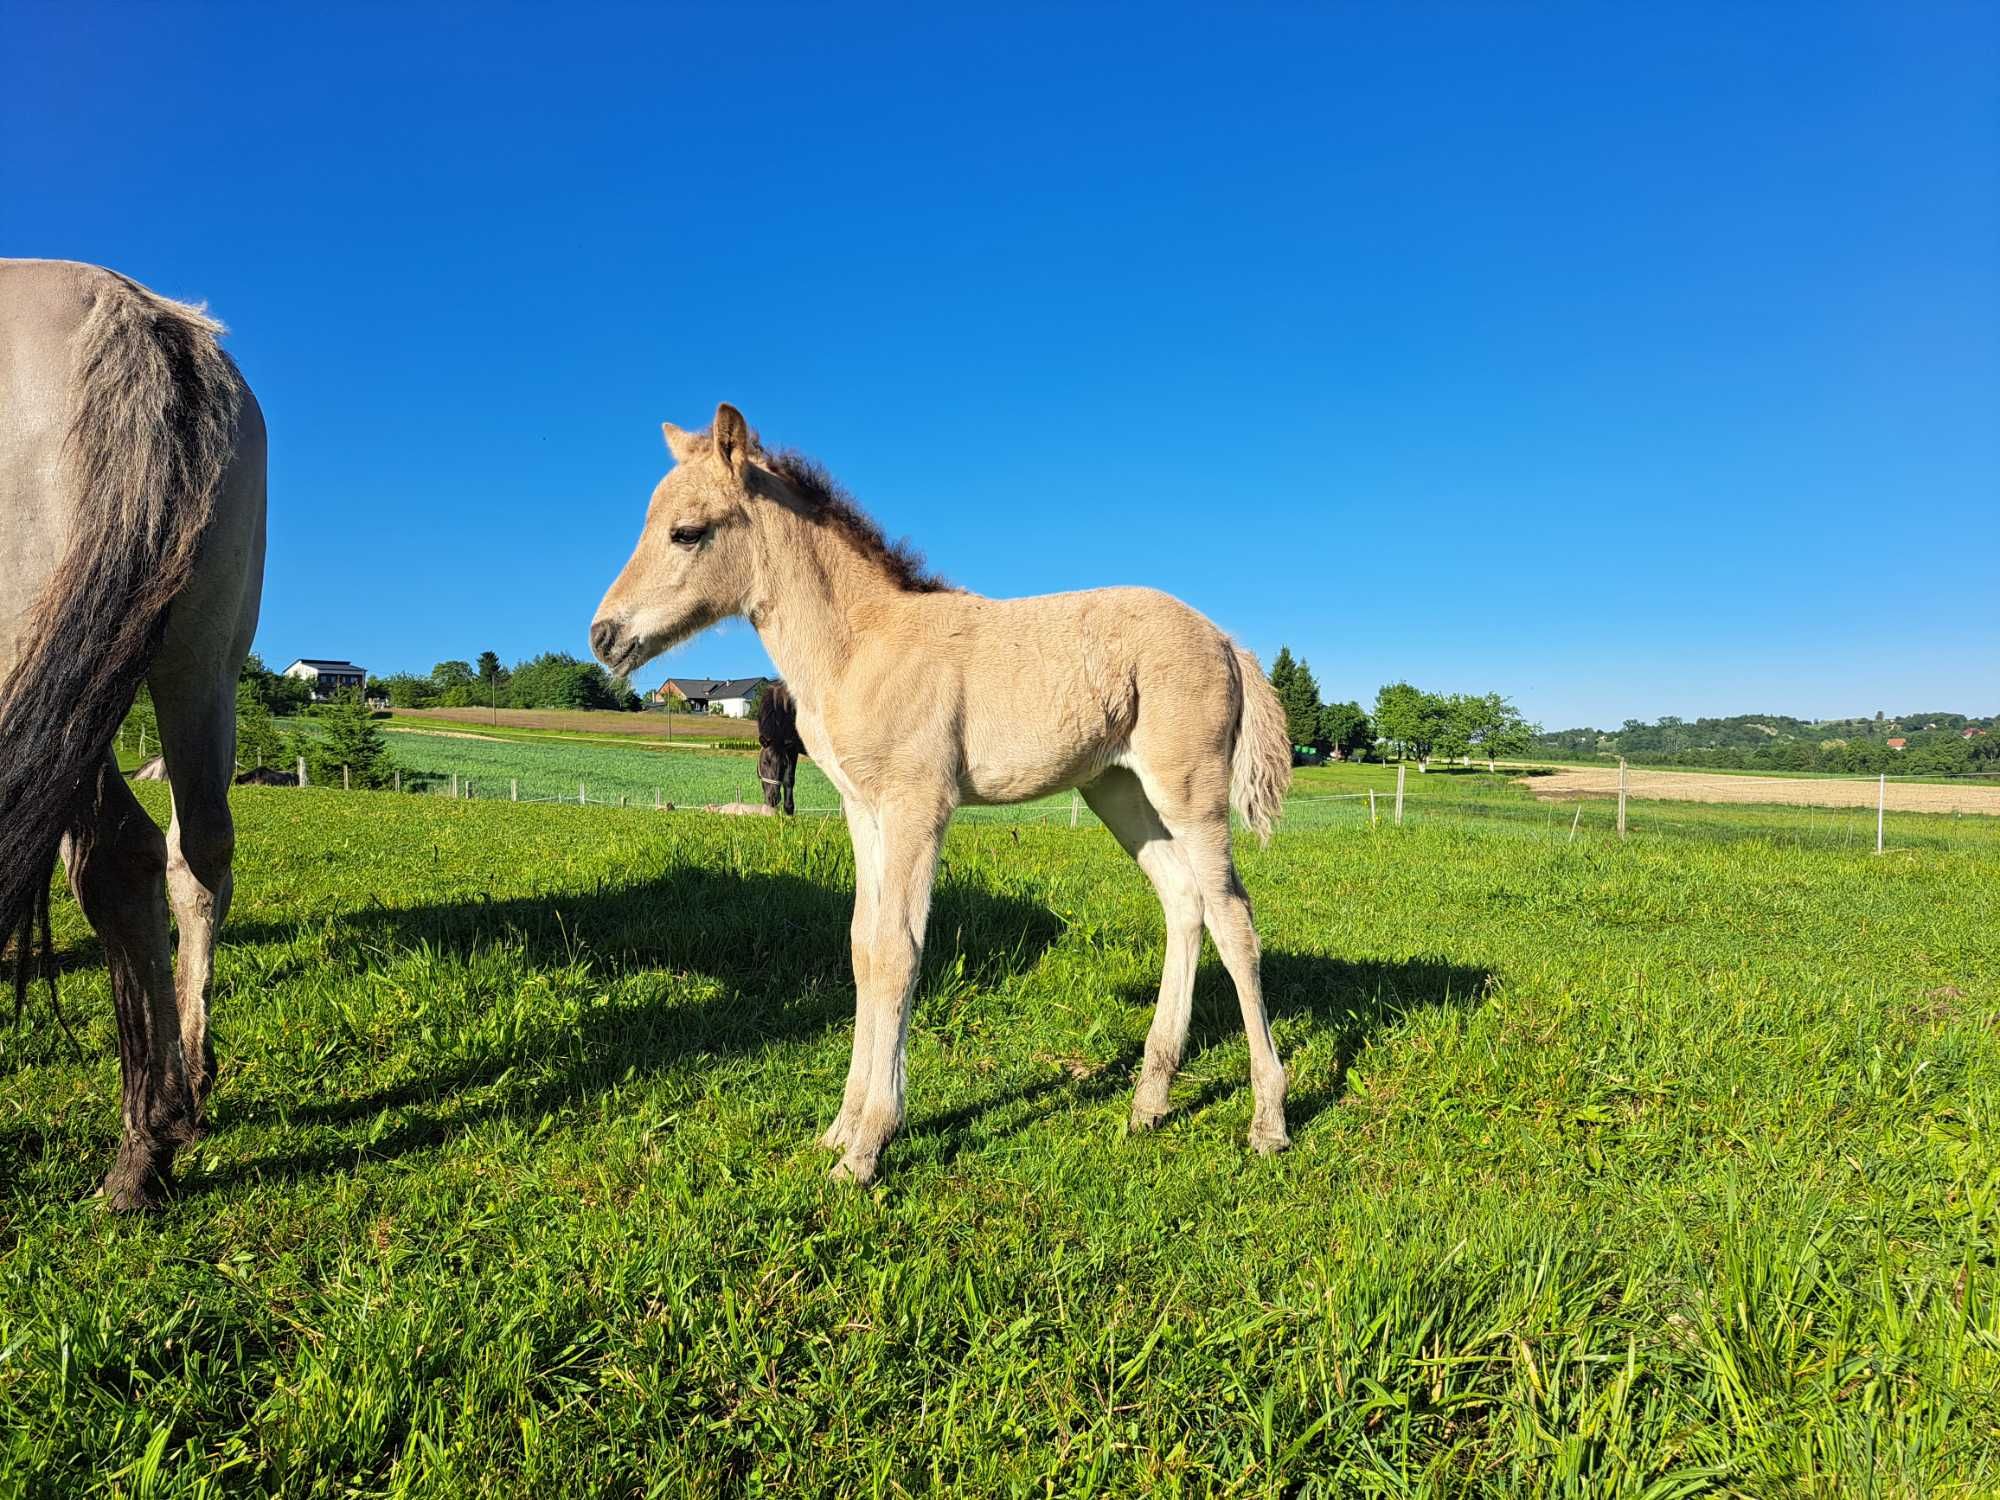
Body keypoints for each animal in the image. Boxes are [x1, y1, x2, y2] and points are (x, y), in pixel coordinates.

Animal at [0, 264, 266, 1216]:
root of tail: (130, 313)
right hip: (200, 659)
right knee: (198, 848)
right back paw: (187, 1087)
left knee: (119, 860)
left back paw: (142, 1149)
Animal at [756, 688, 804, 816]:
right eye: (765, 762)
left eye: (784, 764)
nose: (773, 799)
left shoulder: (793, 749)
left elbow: (789, 779)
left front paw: (789, 809)